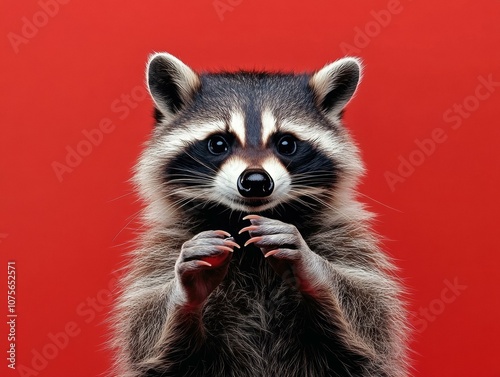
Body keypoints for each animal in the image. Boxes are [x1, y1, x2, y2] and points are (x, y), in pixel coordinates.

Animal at [111, 50, 408, 376]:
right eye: (218, 143)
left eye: (286, 143)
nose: (255, 181)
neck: (240, 224)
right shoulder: (165, 247)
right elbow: (145, 335)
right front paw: (183, 292)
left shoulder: (343, 237)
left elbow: (371, 321)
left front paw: (312, 265)